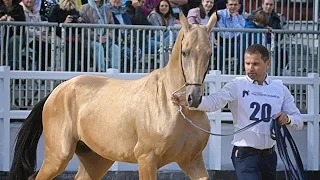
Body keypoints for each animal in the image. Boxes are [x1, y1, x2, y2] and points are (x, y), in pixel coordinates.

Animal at [8, 11, 218, 179]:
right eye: (185, 52)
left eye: (210, 54)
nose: (194, 98)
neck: (175, 107)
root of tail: (56, 91)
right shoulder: (147, 159)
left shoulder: (192, 161)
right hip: (58, 156)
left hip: (96, 160)